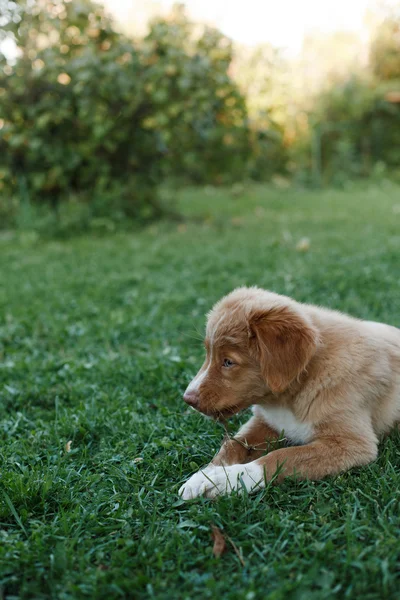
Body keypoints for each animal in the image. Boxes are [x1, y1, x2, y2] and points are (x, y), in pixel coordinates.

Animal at [180, 284, 400, 496]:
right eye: (208, 354)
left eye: (228, 362)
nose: (187, 399)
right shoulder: (265, 422)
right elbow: (233, 444)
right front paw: (204, 476)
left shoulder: (352, 443)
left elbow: (283, 456)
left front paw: (229, 479)